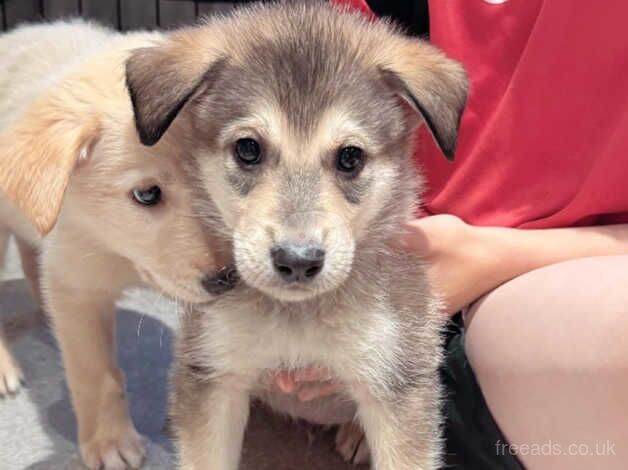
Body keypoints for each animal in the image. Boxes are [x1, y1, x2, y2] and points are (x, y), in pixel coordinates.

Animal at [0, 20, 228, 468]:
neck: (119, 251)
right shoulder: (77, 284)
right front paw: (108, 442)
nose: (228, 279)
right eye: (146, 195)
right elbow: (98, 375)